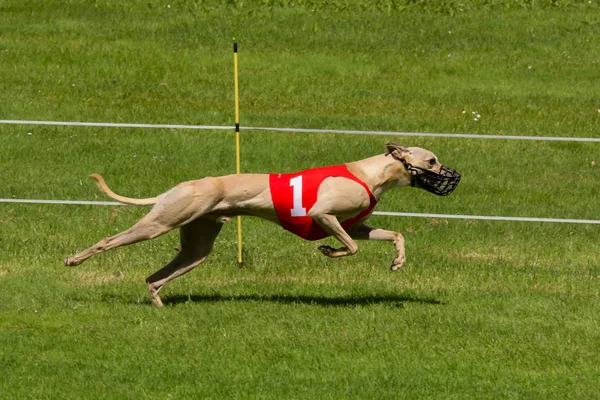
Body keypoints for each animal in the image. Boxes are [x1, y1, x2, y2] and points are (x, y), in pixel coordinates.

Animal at [64, 143, 460, 306]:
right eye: (432, 160)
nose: (453, 175)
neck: (371, 174)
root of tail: (180, 186)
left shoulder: (353, 223)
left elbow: (394, 233)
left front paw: (398, 260)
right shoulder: (323, 215)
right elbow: (350, 246)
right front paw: (329, 251)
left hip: (197, 245)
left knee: (156, 276)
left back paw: (158, 303)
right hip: (160, 222)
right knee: (108, 240)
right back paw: (74, 260)